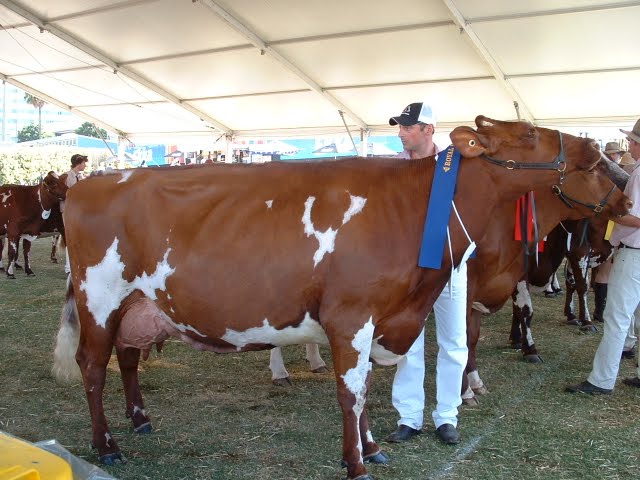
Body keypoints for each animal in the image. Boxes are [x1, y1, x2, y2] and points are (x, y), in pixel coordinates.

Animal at [52, 117, 607, 480]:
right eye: (530, 133)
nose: (595, 150)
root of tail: (88, 184)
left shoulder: (380, 319)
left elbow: (363, 388)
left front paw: (372, 447)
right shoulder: (351, 316)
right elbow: (351, 392)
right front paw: (356, 464)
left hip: (137, 305)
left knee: (126, 357)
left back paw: (140, 420)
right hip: (100, 299)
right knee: (92, 366)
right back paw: (107, 446)